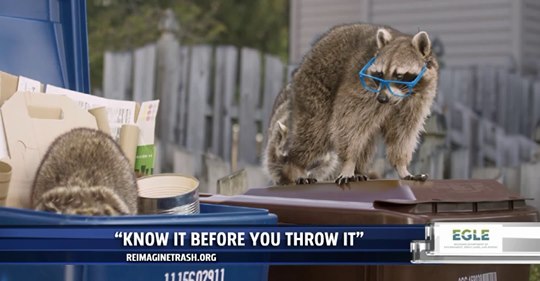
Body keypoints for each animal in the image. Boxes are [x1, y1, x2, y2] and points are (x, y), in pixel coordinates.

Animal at [266, 23, 438, 185]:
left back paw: (359, 170)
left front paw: (401, 166)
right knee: (313, 133)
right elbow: (348, 124)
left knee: (366, 140)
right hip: (313, 89)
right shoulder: (359, 88)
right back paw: (295, 167)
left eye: (399, 76)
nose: (382, 99)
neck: (400, 97)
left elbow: (403, 132)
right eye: (380, 74)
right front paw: (349, 163)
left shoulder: (417, 100)